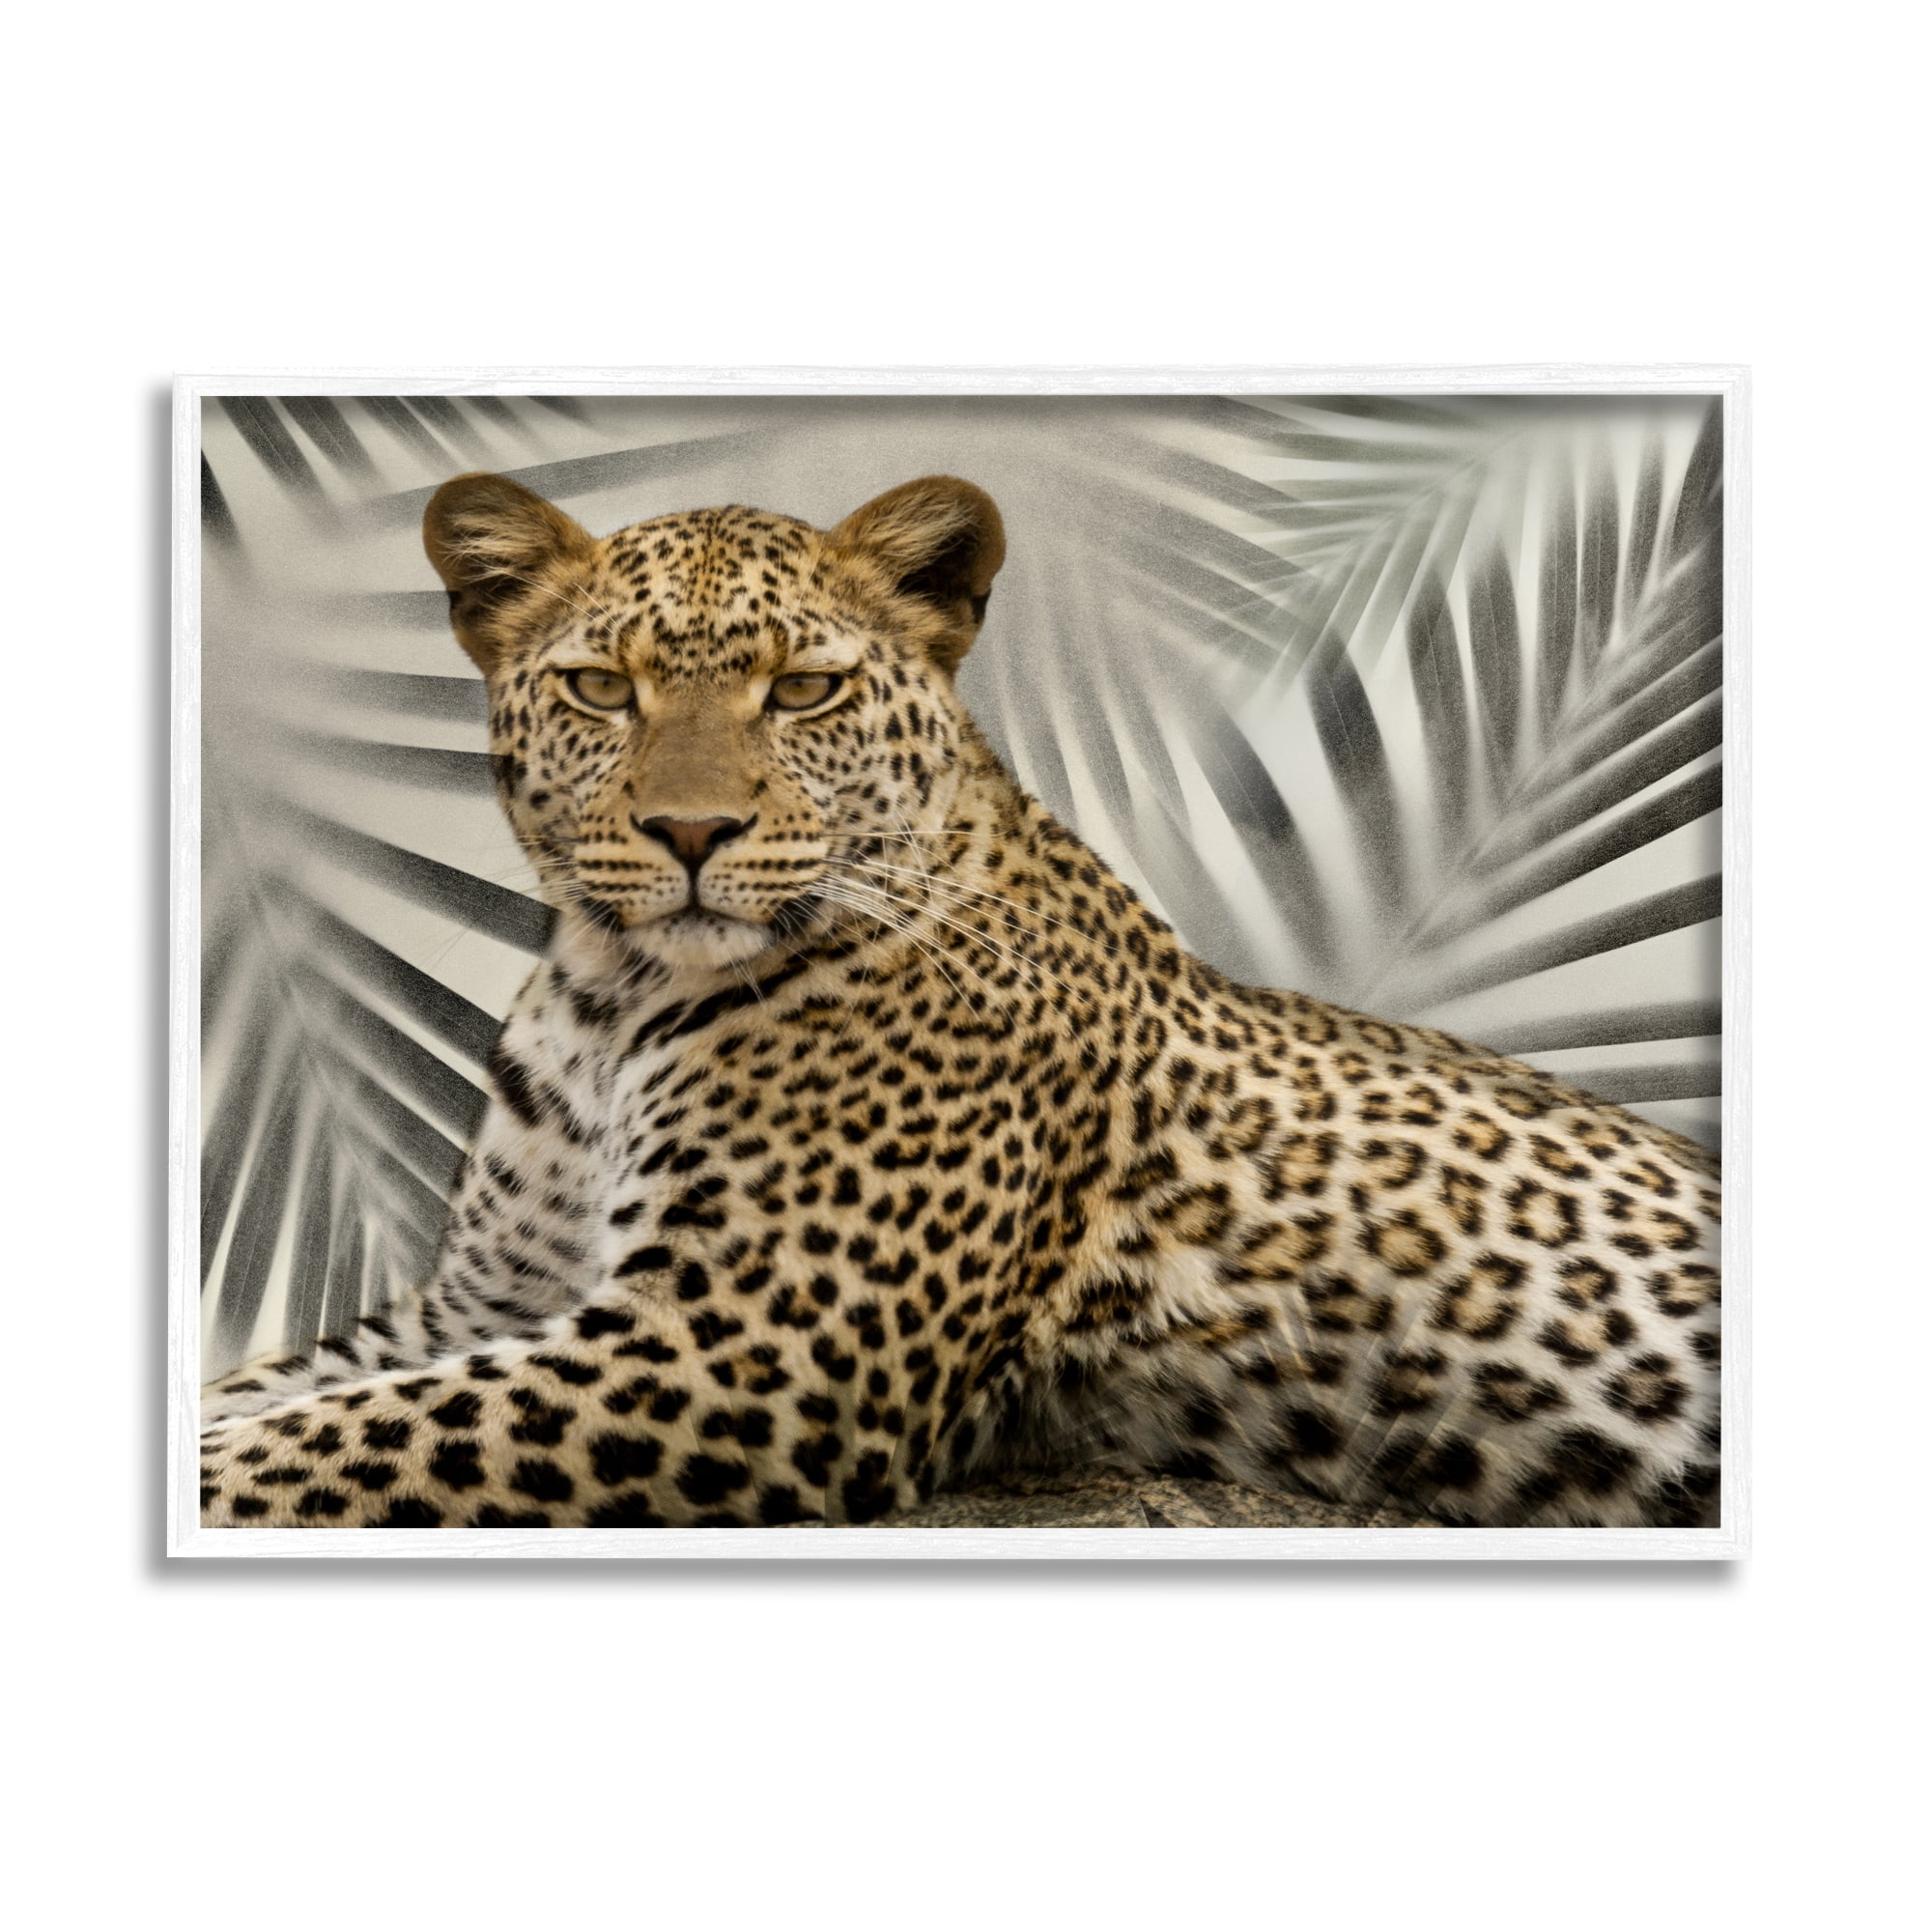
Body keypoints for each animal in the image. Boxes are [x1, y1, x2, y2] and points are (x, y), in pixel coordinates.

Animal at [199, 469, 1722, 1530]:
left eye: (803, 691)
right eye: (597, 686)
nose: (691, 832)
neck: (608, 1000)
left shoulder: (744, 1348)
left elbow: (313, 1442)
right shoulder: (480, 1303)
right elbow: (276, 1394)